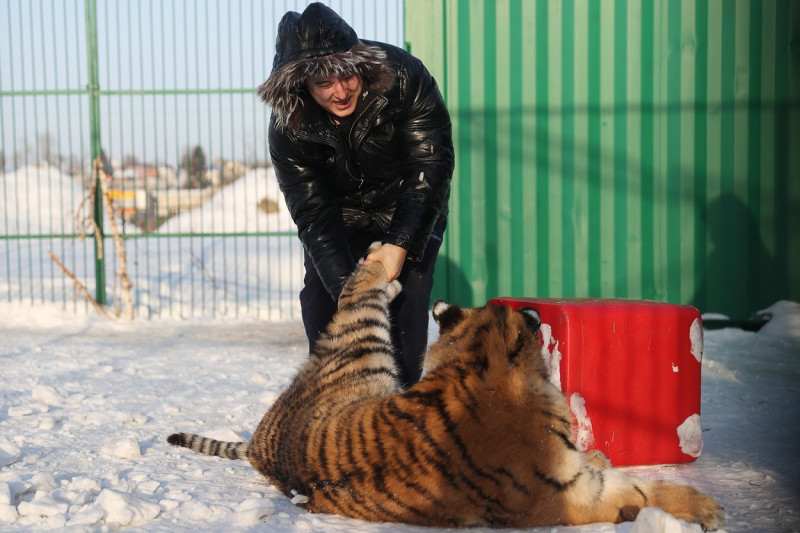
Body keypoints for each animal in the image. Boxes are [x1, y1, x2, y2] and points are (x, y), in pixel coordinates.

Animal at [166, 243, 720, 528]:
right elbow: (647, 489)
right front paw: (706, 509)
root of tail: (261, 439)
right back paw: (382, 265)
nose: (534, 309)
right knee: (357, 287)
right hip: (366, 340)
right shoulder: (569, 494)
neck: (473, 371)